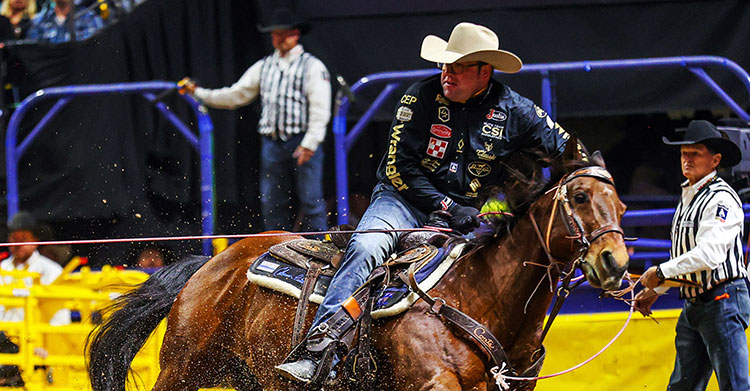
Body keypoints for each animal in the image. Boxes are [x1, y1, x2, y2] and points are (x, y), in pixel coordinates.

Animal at [86, 149, 628, 388]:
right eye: (581, 197)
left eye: (621, 205)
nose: (616, 263)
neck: (477, 297)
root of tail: (210, 265)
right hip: (183, 369)